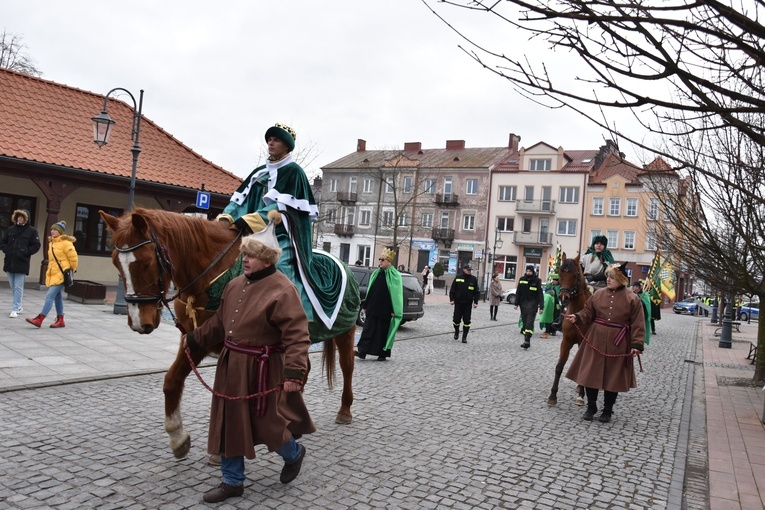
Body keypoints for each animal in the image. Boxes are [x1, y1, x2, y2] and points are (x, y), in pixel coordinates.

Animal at [100, 207, 360, 458]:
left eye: (145, 262)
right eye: (115, 263)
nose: (138, 322)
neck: (212, 275)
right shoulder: (194, 338)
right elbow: (172, 381)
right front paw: (178, 438)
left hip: (345, 331)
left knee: (347, 365)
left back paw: (344, 410)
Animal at [548, 254, 588, 406]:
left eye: (575, 275)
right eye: (560, 274)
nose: (563, 298)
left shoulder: (584, 343)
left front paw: (581, 396)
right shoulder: (566, 341)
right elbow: (559, 366)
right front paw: (553, 395)